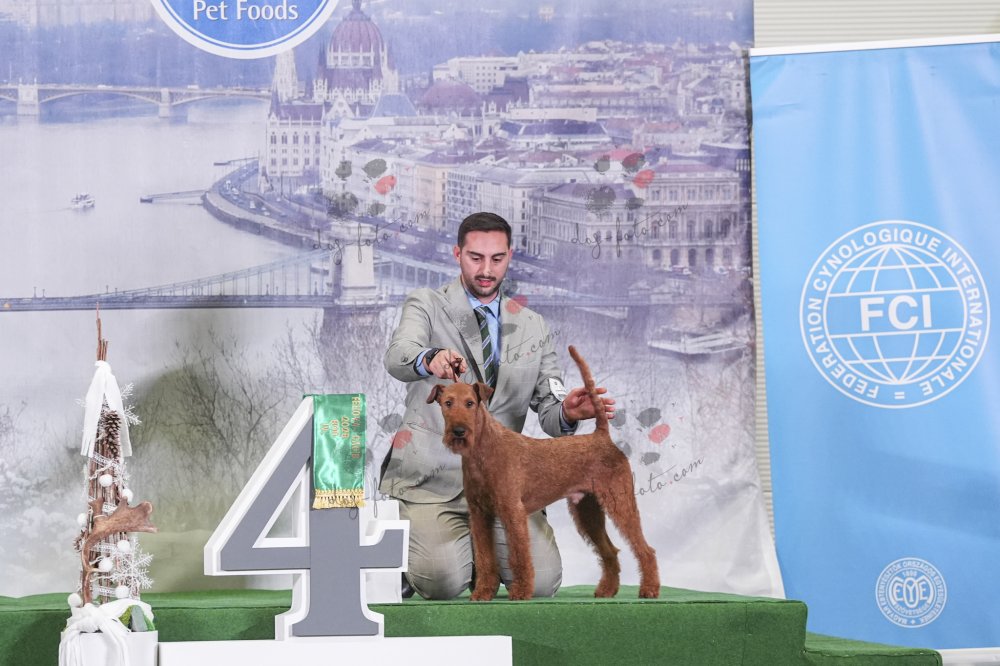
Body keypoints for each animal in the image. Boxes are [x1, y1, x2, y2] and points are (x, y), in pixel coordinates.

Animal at [427, 345, 660, 601]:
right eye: (448, 403)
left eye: (470, 403)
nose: (459, 431)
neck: (483, 451)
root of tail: (602, 436)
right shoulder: (479, 515)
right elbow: (485, 558)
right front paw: (482, 593)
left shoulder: (512, 511)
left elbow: (519, 556)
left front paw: (521, 591)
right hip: (587, 510)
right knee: (609, 550)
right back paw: (607, 590)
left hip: (619, 500)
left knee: (644, 548)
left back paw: (649, 589)